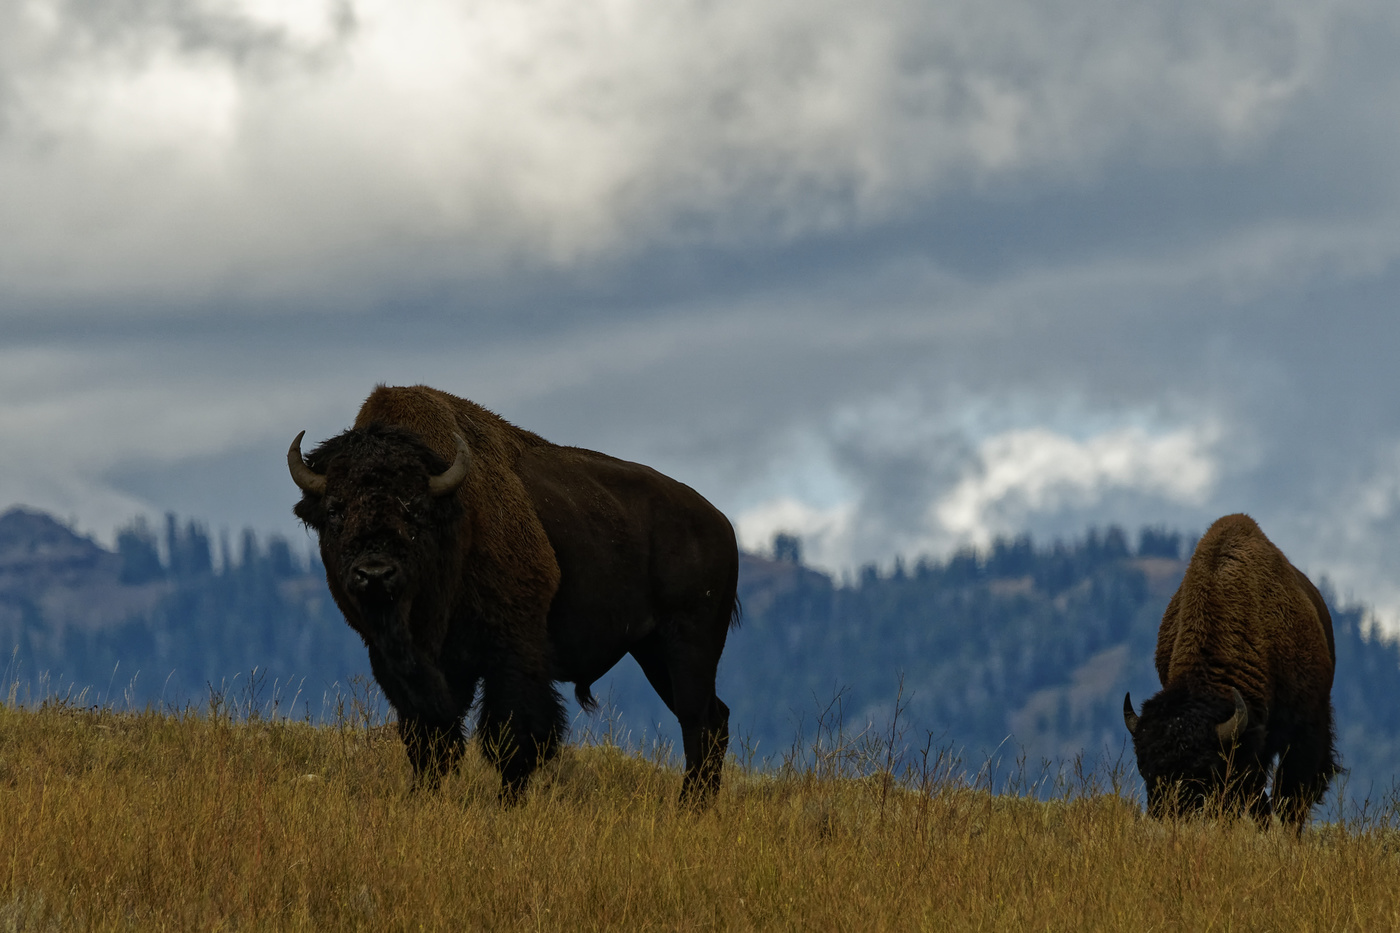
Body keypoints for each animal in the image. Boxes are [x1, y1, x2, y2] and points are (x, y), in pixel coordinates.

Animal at [289, 384, 740, 803]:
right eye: (335, 509)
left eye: (414, 508)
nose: (375, 573)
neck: (454, 519)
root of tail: (720, 523)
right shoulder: (412, 665)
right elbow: (428, 737)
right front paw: (422, 798)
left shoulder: (511, 650)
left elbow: (512, 737)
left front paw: (508, 805)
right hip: (652, 652)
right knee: (714, 717)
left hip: (689, 644)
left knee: (698, 721)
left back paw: (690, 808)